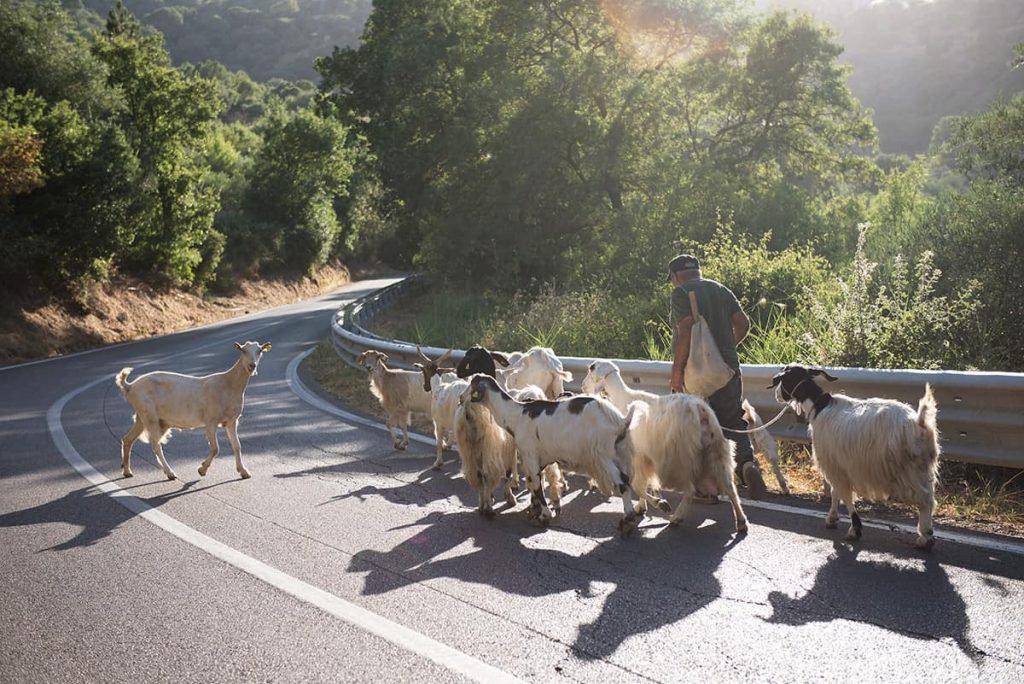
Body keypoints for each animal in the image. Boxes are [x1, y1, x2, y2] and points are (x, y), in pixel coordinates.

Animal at [115, 342, 272, 481]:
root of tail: (129, 386)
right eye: (243, 351)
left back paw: (127, 471)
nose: (252, 366)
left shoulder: (232, 420)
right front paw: (202, 469)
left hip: (144, 417)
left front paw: (244, 472)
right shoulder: (210, 420)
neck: (228, 385)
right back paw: (170, 473)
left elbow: (237, 446)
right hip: (149, 415)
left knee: (128, 439)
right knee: (155, 444)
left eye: (259, 351)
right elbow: (215, 448)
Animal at [466, 374, 638, 532]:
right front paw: (534, 510)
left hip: (603, 454)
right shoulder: (540, 459)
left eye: (471, 385)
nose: (462, 399)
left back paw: (627, 519)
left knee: (622, 481)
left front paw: (544, 516)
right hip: (621, 454)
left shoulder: (530, 455)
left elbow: (536, 484)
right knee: (627, 479)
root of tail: (620, 421)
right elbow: (535, 483)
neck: (517, 414)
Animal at [585, 360, 745, 532]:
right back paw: (741, 522)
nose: (583, 387)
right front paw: (642, 507)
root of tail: (700, 409)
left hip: (680, 458)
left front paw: (658, 504)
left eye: (591, 368)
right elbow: (642, 485)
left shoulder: (637, 457)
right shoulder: (643, 458)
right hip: (718, 450)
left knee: (690, 490)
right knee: (730, 488)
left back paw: (676, 517)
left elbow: (637, 485)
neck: (622, 397)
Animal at [770, 362, 942, 548]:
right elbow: (836, 492)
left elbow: (843, 494)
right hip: (923, 467)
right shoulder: (838, 464)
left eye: (784, 378)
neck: (819, 406)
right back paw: (927, 535)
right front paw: (832, 519)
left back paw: (925, 537)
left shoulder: (835, 464)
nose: (777, 395)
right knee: (929, 498)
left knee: (924, 498)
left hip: (907, 469)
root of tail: (919, 424)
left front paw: (854, 529)